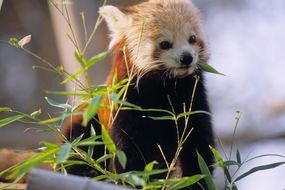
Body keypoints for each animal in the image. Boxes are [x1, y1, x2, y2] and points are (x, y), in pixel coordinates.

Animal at [62, 0, 213, 188]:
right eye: (165, 44)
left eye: (192, 38)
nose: (186, 58)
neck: (165, 88)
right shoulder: (126, 101)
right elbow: (129, 152)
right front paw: (137, 180)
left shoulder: (193, 98)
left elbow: (198, 148)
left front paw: (196, 181)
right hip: (87, 128)